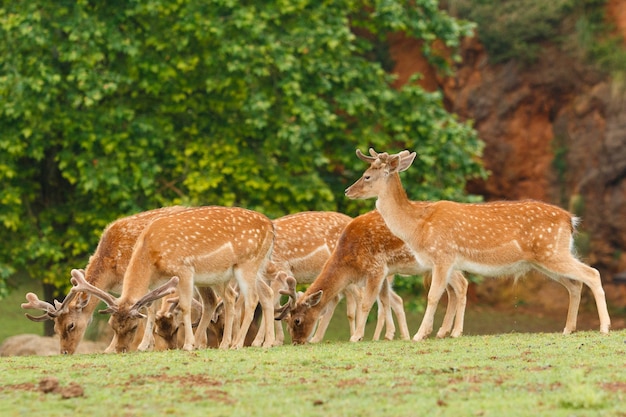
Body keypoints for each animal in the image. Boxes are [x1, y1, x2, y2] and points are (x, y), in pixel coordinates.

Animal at [20, 205, 189, 352]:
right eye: (56, 328)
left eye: (71, 325)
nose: (65, 352)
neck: (111, 272)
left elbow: (147, 309)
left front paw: (141, 346)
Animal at [65, 205, 276, 352]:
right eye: (112, 326)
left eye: (133, 327)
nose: (120, 350)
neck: (150, 253)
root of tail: (270, 225)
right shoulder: (157, 282)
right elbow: (152, 308)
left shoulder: (184, 269)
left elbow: (184, 307)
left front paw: (188, 345)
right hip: (247, 269)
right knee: (257, 295)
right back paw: (253, 344)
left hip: (246, 264)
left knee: (251, 300)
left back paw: (238, 344)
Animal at [276, 208, 466, 344]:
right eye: (287, 321)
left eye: (297, 320)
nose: (296, 342)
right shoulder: (384, 271)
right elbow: (384, 300)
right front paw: (389, 335)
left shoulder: (376, 268)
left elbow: (367, 303)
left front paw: (357, 336)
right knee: (451, 290)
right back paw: (442, 332)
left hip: (443, 258)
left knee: (461, 284)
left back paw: (455, 332)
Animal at [342, 148, 608, 340]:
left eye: (367, 176)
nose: (347, 191)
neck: (418, 226)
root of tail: (570, 219)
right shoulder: (447, 262)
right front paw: (445, 332)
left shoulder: (443, 255)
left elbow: (433, 296)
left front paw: (421, 335)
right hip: (544, 259)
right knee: (574, 284)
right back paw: (568, 329)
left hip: (551, 252)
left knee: (592, 273)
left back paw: (604, 327)